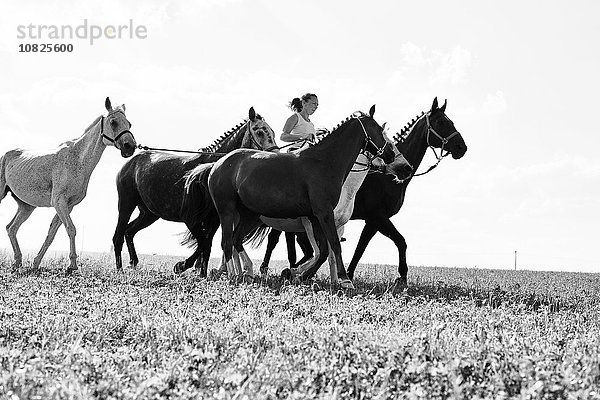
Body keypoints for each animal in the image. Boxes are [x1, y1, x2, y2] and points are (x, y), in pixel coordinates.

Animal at [0, 97, 137, 272]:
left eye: (129, 124)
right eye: (113, 122)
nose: (130, 147)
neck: (77, 159)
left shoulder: (68, 205)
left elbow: (52, 233)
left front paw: (36, 263)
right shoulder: (59, 202)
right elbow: (71, 229)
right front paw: (72, 265)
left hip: (26, 206)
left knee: (11, 228)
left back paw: (18, 262)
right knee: (12, 228)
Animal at [111, 106, 278, 276]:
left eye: (272, 132)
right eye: (259, 132)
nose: (274, 155)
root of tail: (130, 163)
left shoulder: (213, 219)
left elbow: (207, 243)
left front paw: (197, 270)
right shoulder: (192, 218)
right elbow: (204, 243)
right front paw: (184, 266)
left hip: (149, 214)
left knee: (129, 231)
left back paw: (133, 262)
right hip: (126, 205)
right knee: (118, 235)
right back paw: (119, 268)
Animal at [204, 105, 396, 288]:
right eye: (380, 130)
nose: (391, 155)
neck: (325, 162)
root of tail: (218, 164)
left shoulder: (315, 217)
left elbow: (323, 252)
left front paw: (300, 275)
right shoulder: (324, 213)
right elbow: (334, 245)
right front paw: (344, 280)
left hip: (249, 215)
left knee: (236, 240)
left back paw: (246, 273)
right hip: (227, 212)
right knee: (227, 242)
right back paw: (232, 275)